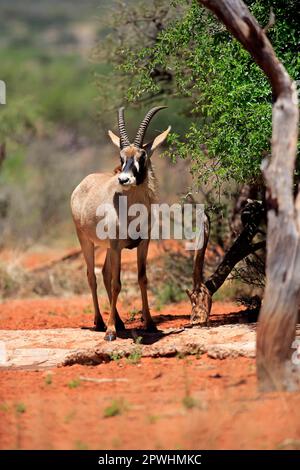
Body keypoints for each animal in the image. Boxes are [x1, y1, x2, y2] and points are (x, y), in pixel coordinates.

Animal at [69, 107, 170, 342]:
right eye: (121, 157)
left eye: (142, 156)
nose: (123, 179)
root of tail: (82, 184)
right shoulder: (117, 247)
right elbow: (117, 283)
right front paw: (110, 331)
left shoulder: (143, 244)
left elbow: (142, 278)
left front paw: (150, 324)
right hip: (86, 241)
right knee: (92, 276)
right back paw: (100, 323)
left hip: (107, 248)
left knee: (105, 273)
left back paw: (120, 322)